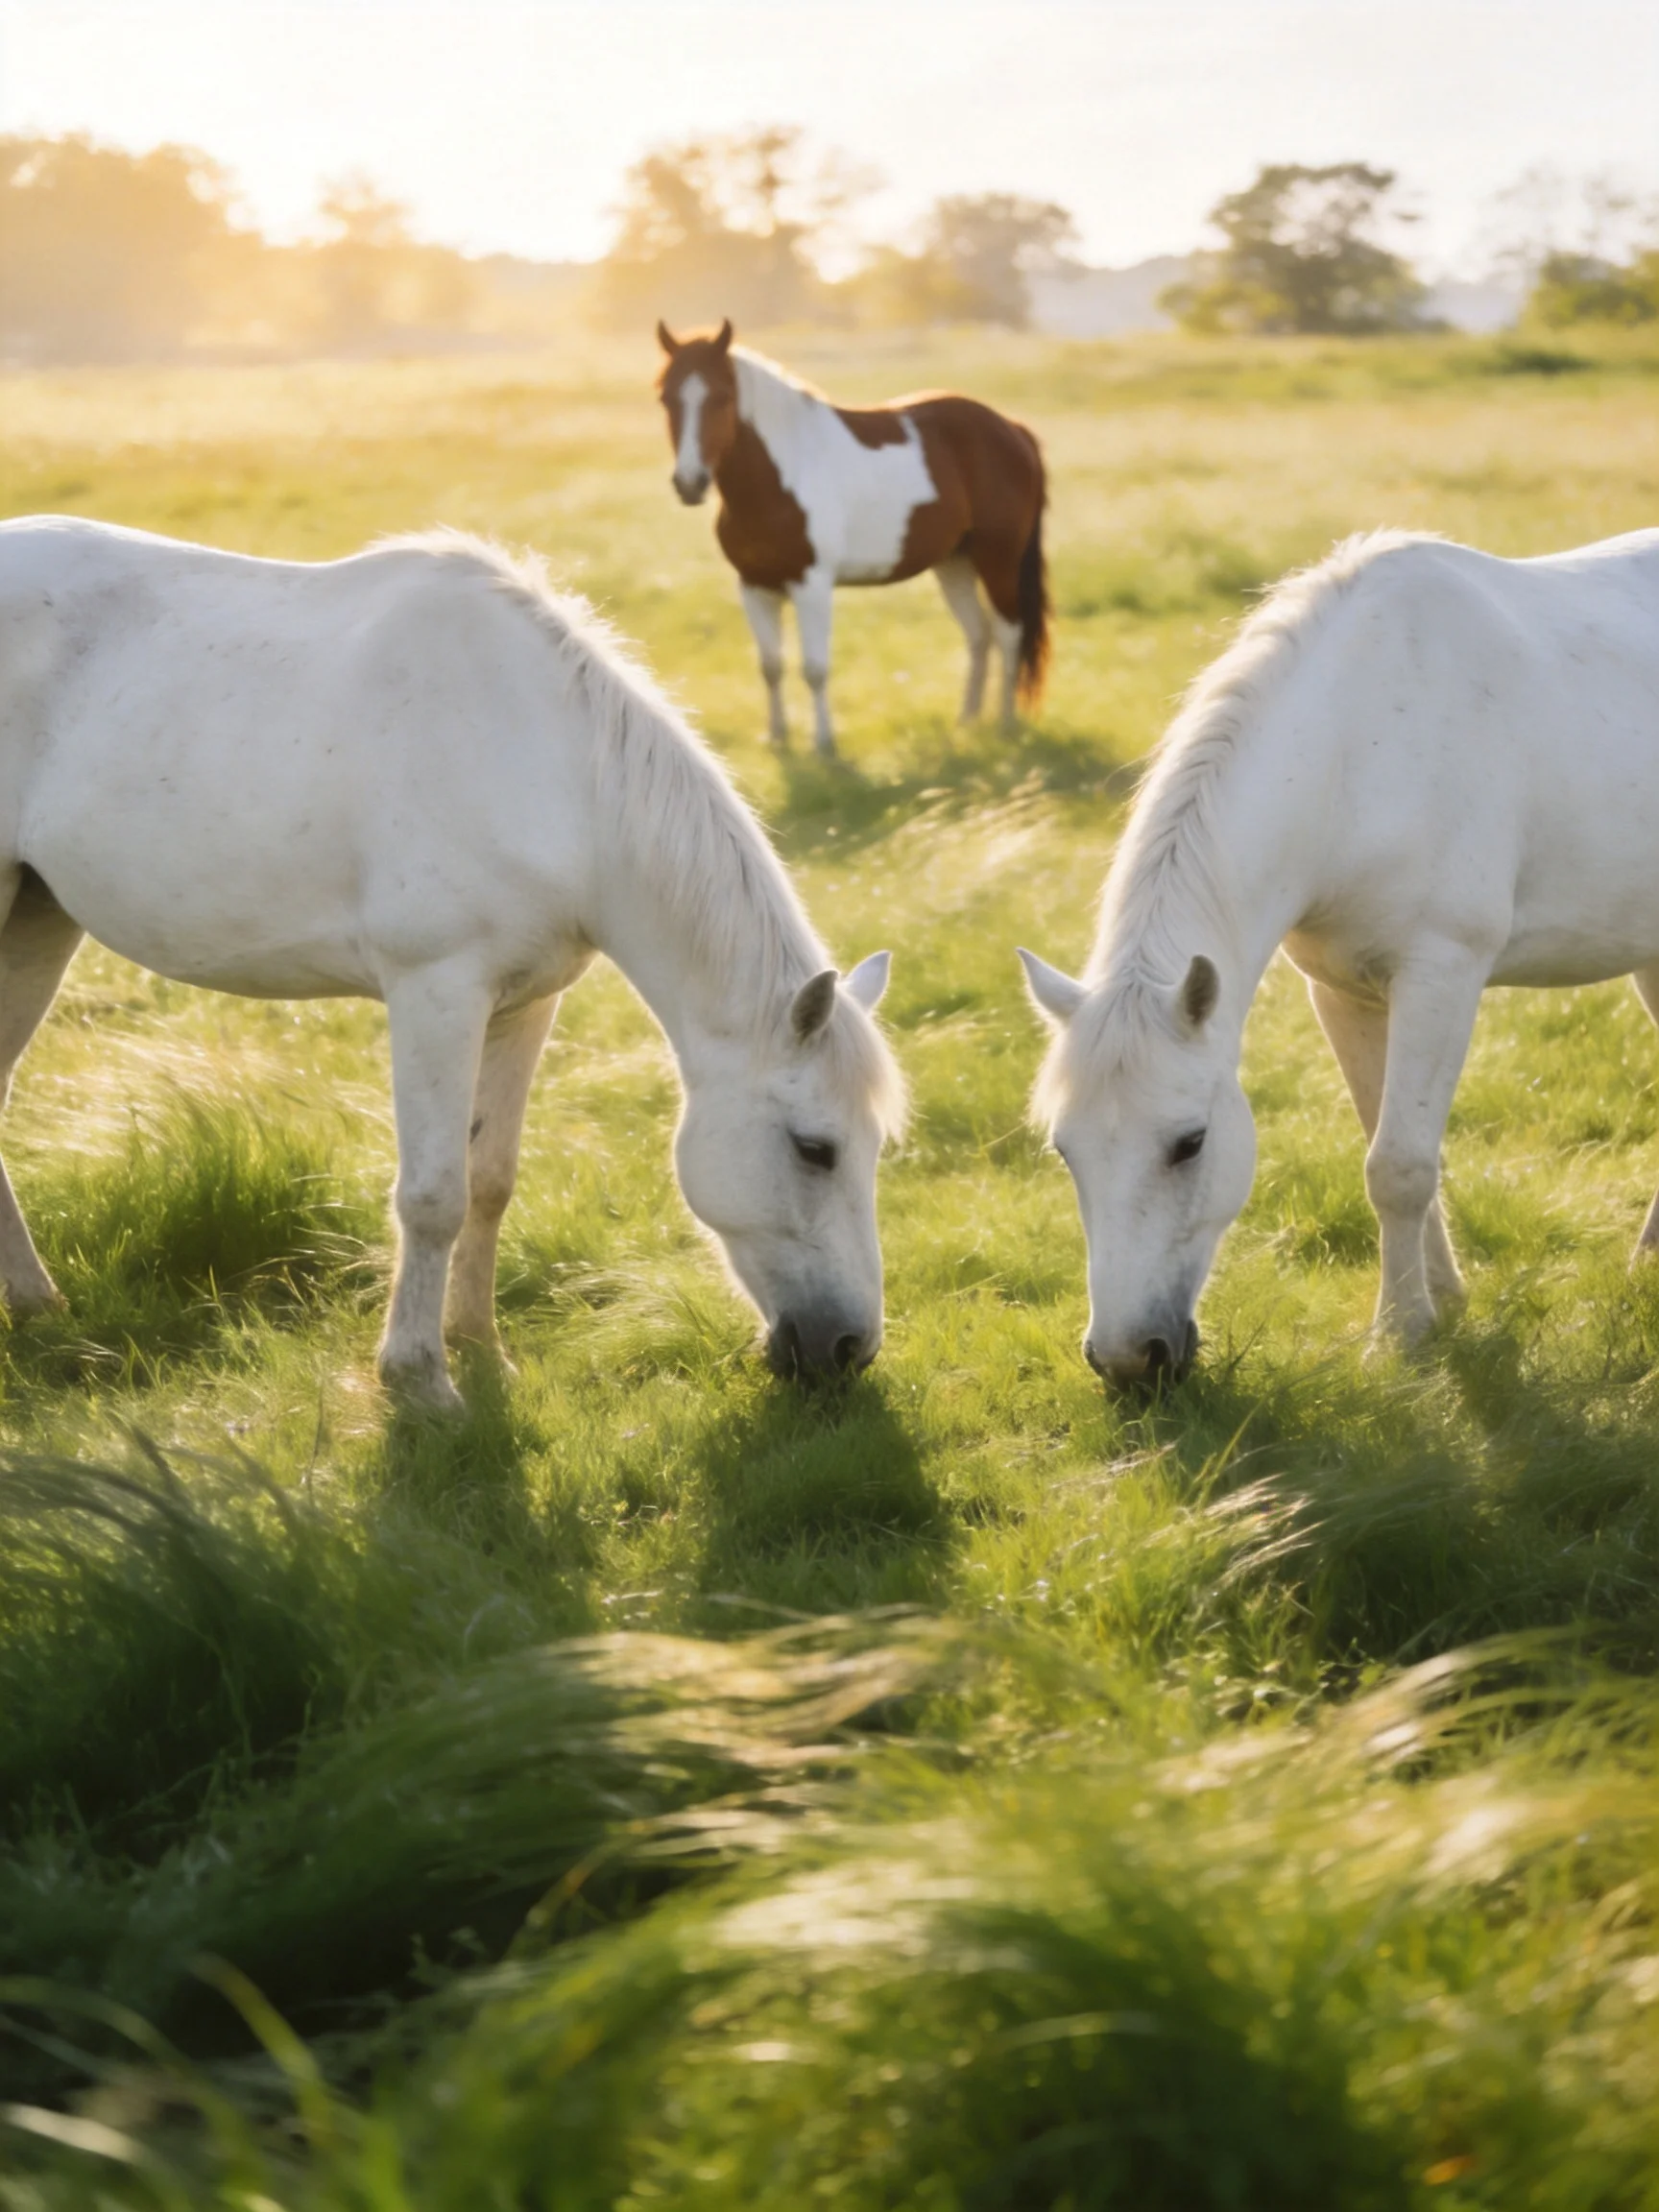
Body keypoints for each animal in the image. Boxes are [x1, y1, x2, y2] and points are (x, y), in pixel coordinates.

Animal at [0, 517, 906, 1410]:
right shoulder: (436, 992)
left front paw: (480, 1347)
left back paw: (36, 1303)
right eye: (815, 1149)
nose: (849, 1349)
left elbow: (491, 1180)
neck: (556, 774)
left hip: (39, 919)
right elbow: (434, 1195)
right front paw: (420, 1380)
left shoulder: (525, 1005)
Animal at [656, 319, 1049, 756]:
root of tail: (1012, 428)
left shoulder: (811, 585)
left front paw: (824, 745)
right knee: (979, 636)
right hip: (955, 563)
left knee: (1009, 633)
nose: (689, 484)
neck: (781, 476)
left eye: (723, 397)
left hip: (999, 559)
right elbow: (771, 666)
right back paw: (966, 723)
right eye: (666, 398)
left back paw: (1006, 726)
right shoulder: (754, 586)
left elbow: (815, 668)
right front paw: (777, 740)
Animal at [1019, 526, 1659, 1386]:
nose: (1127, 1362)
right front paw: (1440, 1300)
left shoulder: (1441, 976)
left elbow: (1400, 1167)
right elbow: (1386, 1143)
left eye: (1190, 1144)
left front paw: (1400, 1333)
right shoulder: (1343, 990)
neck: (1356, 751)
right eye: (1065, 1148)